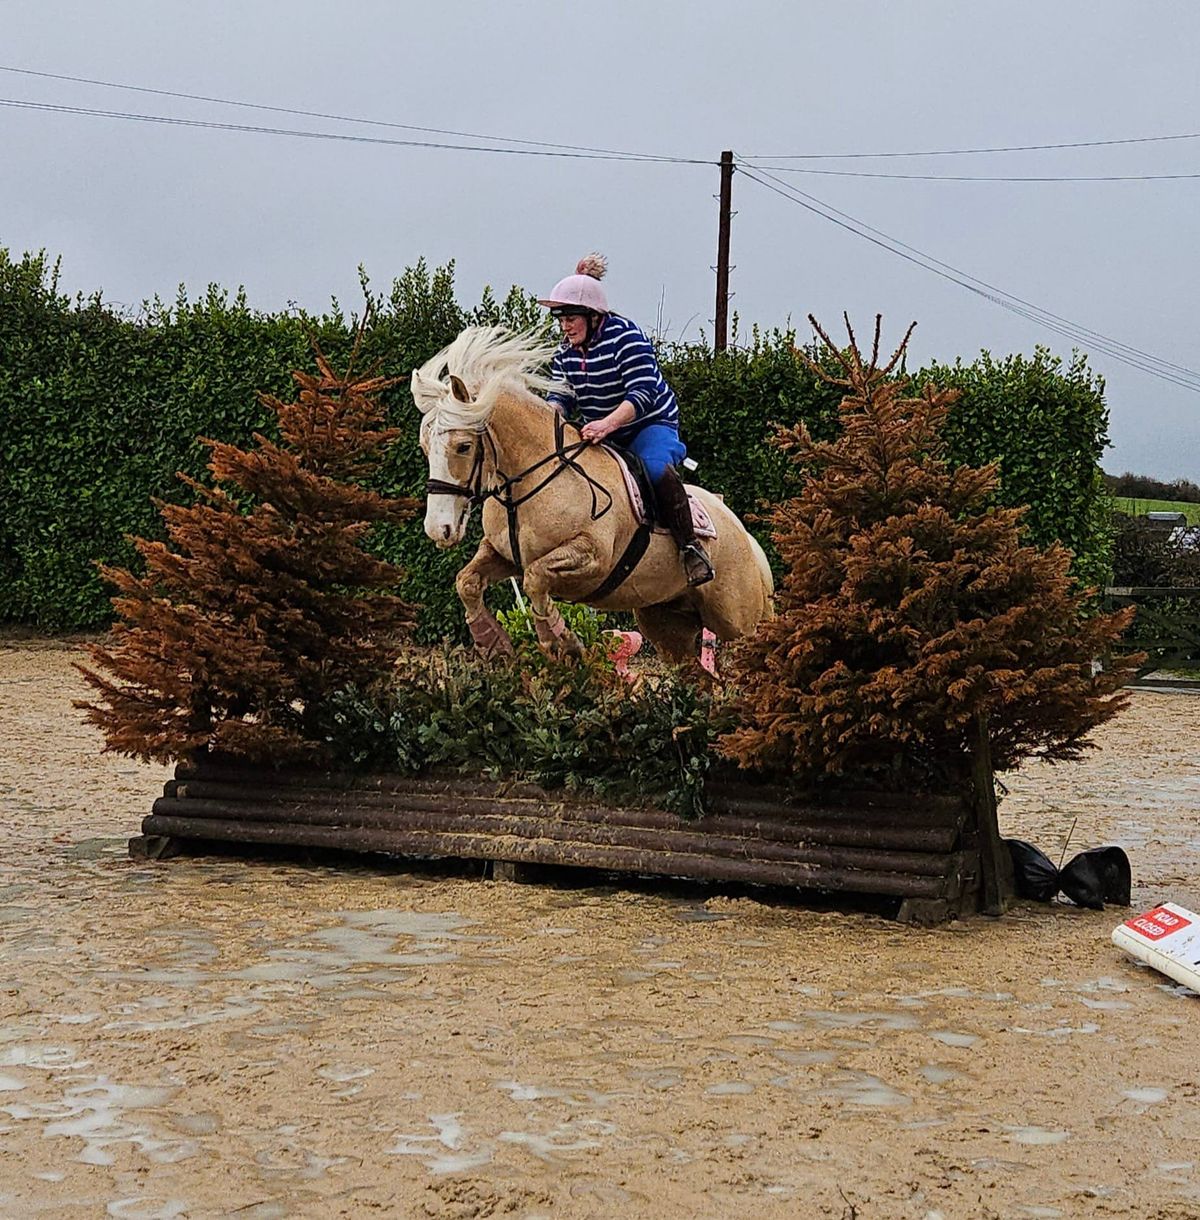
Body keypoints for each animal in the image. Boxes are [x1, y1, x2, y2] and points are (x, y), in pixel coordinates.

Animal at [407, 329, 775, 663]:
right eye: (424, 448)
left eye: (463, 446)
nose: (437, 529)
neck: (530, 481)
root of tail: (742, 533)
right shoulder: (503, 556)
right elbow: (467, 581)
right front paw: (494, 643)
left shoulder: (591, 556)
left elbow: (535, 579)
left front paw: (561, 641)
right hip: (667, 625)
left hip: (738, 621)